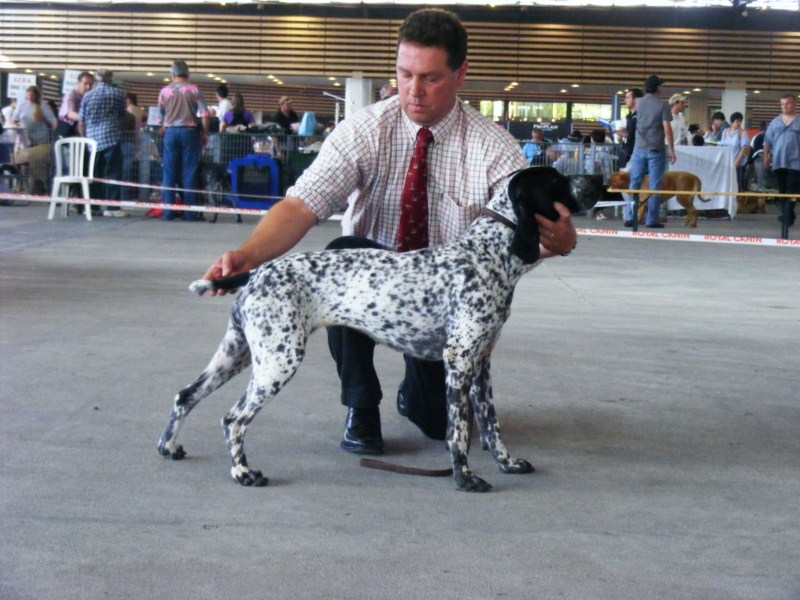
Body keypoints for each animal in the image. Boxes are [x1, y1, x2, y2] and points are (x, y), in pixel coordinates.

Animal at [158, 165, 580, 492]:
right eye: (556, 181)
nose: (589, 183)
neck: (485, 255)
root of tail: (257, 272)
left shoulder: (481, 365)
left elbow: (491, 427)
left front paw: (508, 464)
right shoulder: (459, 360)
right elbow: (458, 432)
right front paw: (464, 478)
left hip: (238, 354)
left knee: (185, 396)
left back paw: (169, 447)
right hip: (277, 361)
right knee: (233, 419)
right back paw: (243, 473)